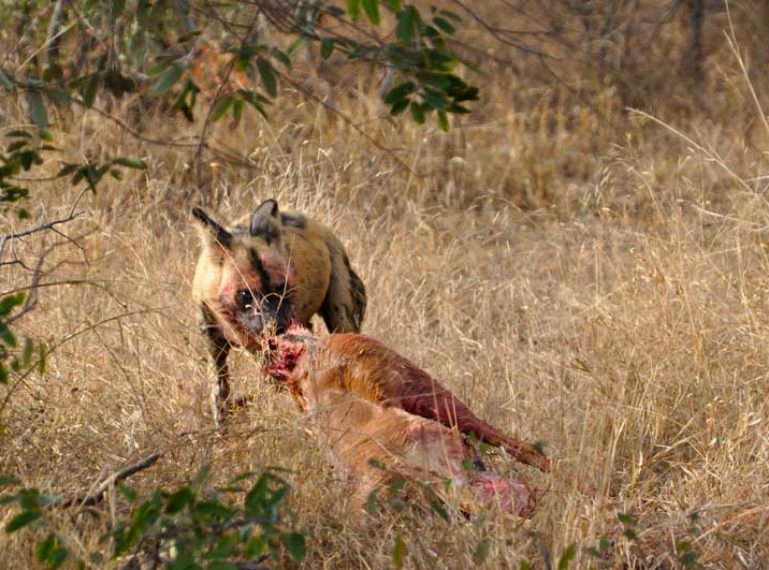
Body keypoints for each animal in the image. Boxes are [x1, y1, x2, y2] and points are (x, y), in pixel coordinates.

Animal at [189, 200, 364, 422]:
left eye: (281, 287)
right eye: (245, 294)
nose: (277, 326)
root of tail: (324, 230)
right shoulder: (214, 345)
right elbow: (220, 395)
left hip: (340, 319)